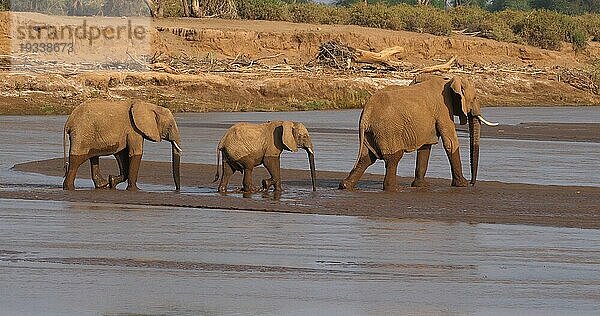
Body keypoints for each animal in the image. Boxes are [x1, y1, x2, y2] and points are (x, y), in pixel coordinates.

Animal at [340, 75, 500, 191]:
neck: (448, 80)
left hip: (372, 131)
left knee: (366, 158)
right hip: (387, 130)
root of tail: (366, 113)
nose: (473, 183)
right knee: (393, 157)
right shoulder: (443, 109)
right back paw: (394, 189)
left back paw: (345, 186)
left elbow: (426, 146)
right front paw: (462, 184)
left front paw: (421, 186)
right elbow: (450, 142)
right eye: (475, 98)